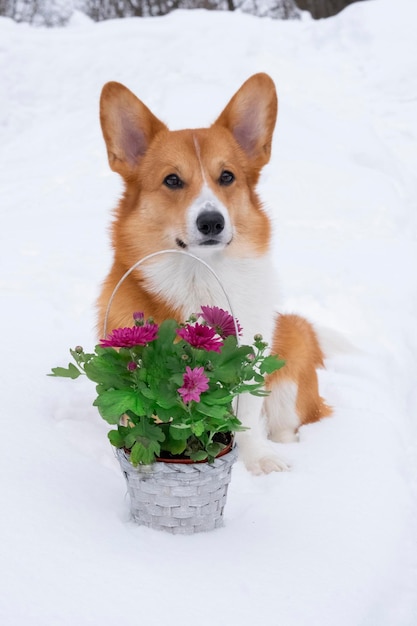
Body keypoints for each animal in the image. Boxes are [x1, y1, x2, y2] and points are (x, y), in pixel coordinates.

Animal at [96, 72, 330, 472]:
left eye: (227, 177)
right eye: (172, 180)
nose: (211, 222)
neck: (199, 273)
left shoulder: (250, 363)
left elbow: (247, 414)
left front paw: (259, 461)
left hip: (290, 358)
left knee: (289, 422)